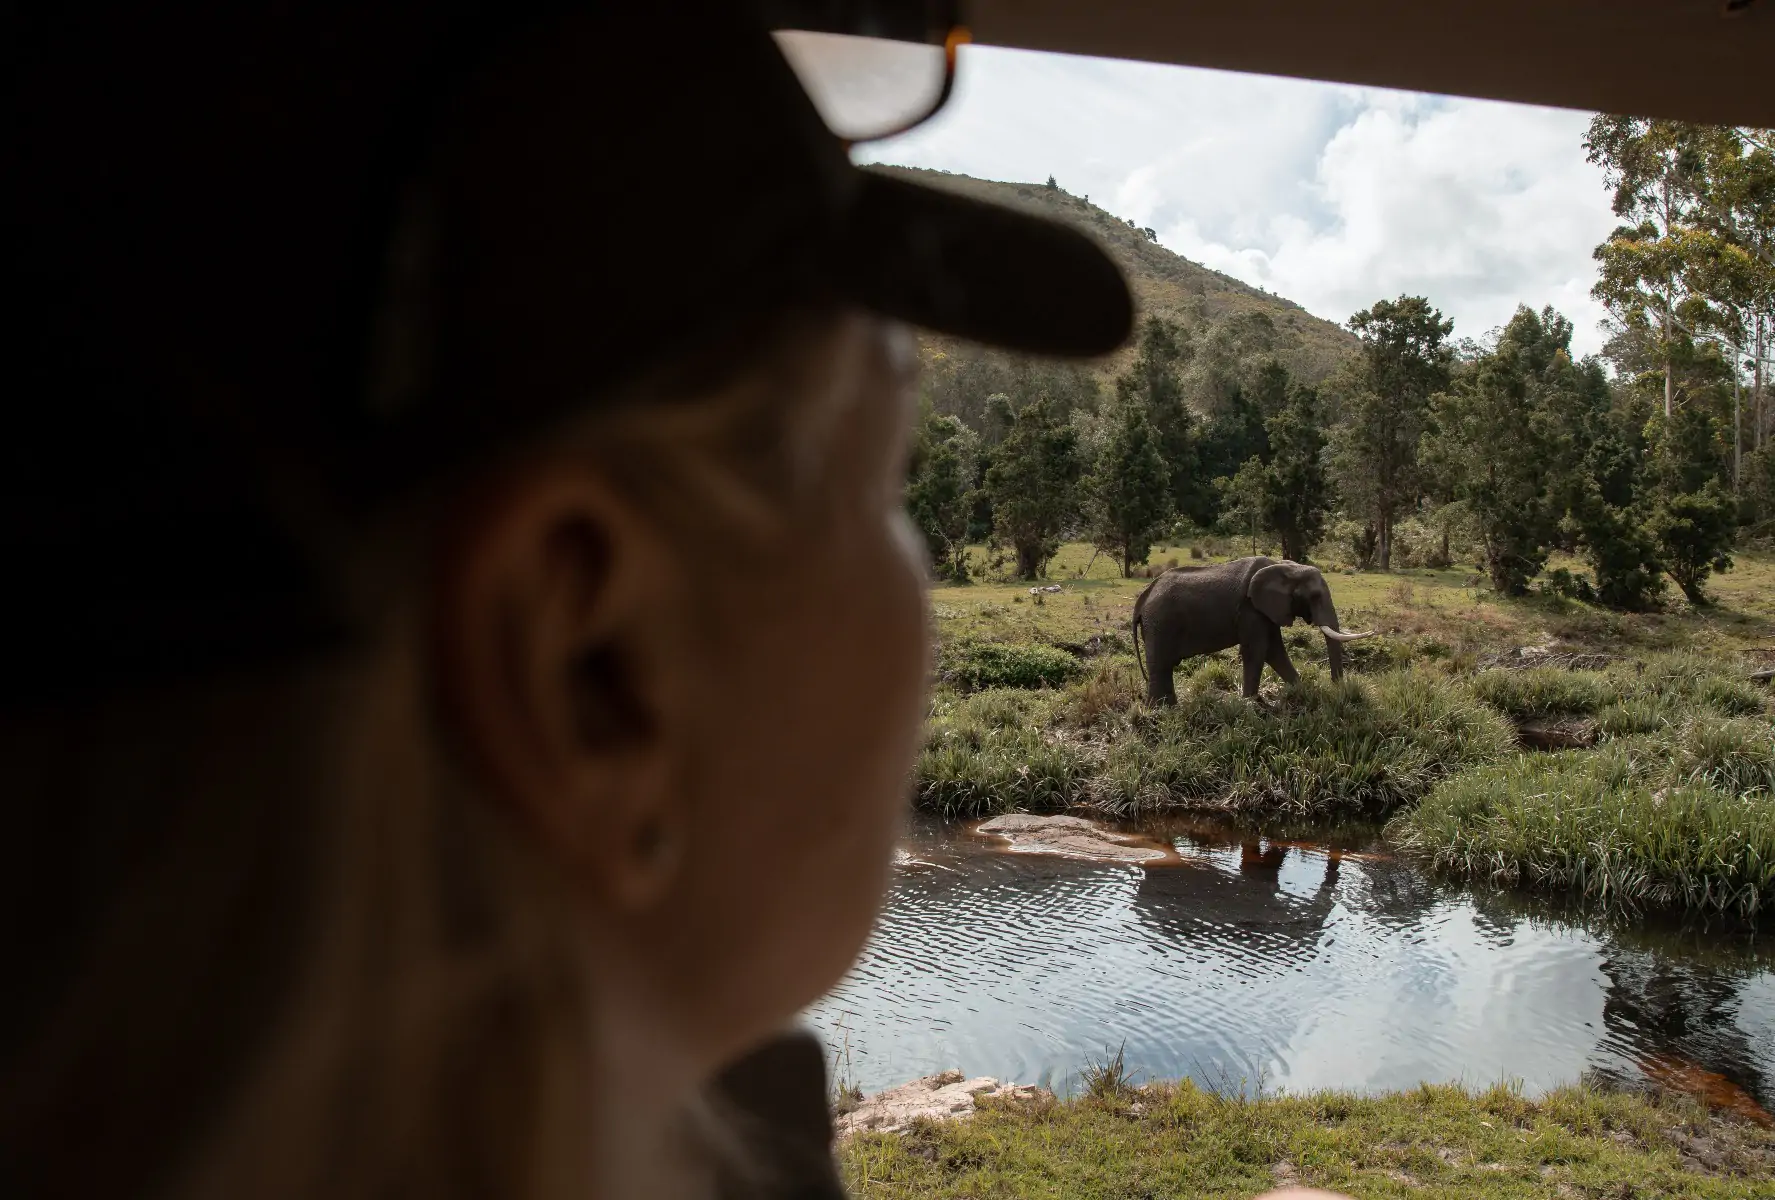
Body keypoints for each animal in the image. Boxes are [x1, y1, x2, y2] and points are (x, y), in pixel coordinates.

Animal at [1136, 557, 1370, 706]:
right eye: (1314, 596)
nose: (1337, 690)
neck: (1287, 567)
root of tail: (1144, 596)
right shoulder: (1250, 609)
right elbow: (1258, 650)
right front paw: (1251, 703)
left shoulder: (1267, 610)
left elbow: (1274, 650)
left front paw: (1300, 691)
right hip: (1159, 623)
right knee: (1160, 664)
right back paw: (1159, 711)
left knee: (1163, 666)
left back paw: (1168, 708)